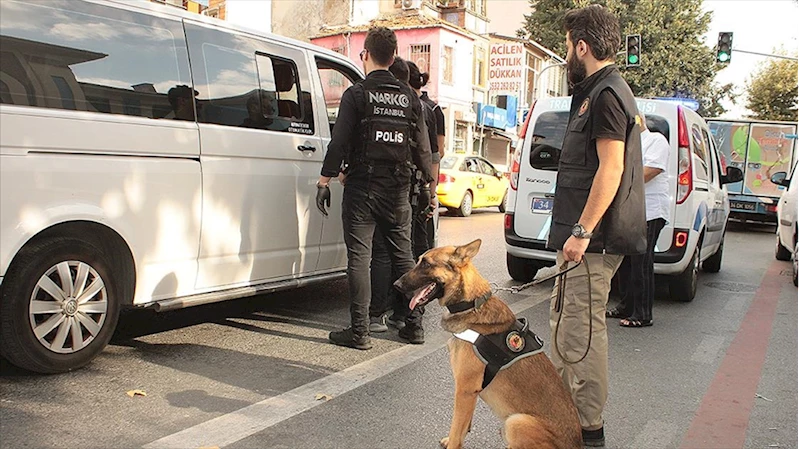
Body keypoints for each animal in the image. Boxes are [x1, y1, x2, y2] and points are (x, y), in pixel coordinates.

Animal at [394, 240, 580, 448]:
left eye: (426, 263)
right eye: (419, 260)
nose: (396, 285)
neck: (470, 304)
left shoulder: (464, 391)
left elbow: (456, 428)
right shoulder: (470, 394)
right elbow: (463, 428)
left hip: (515, 422)